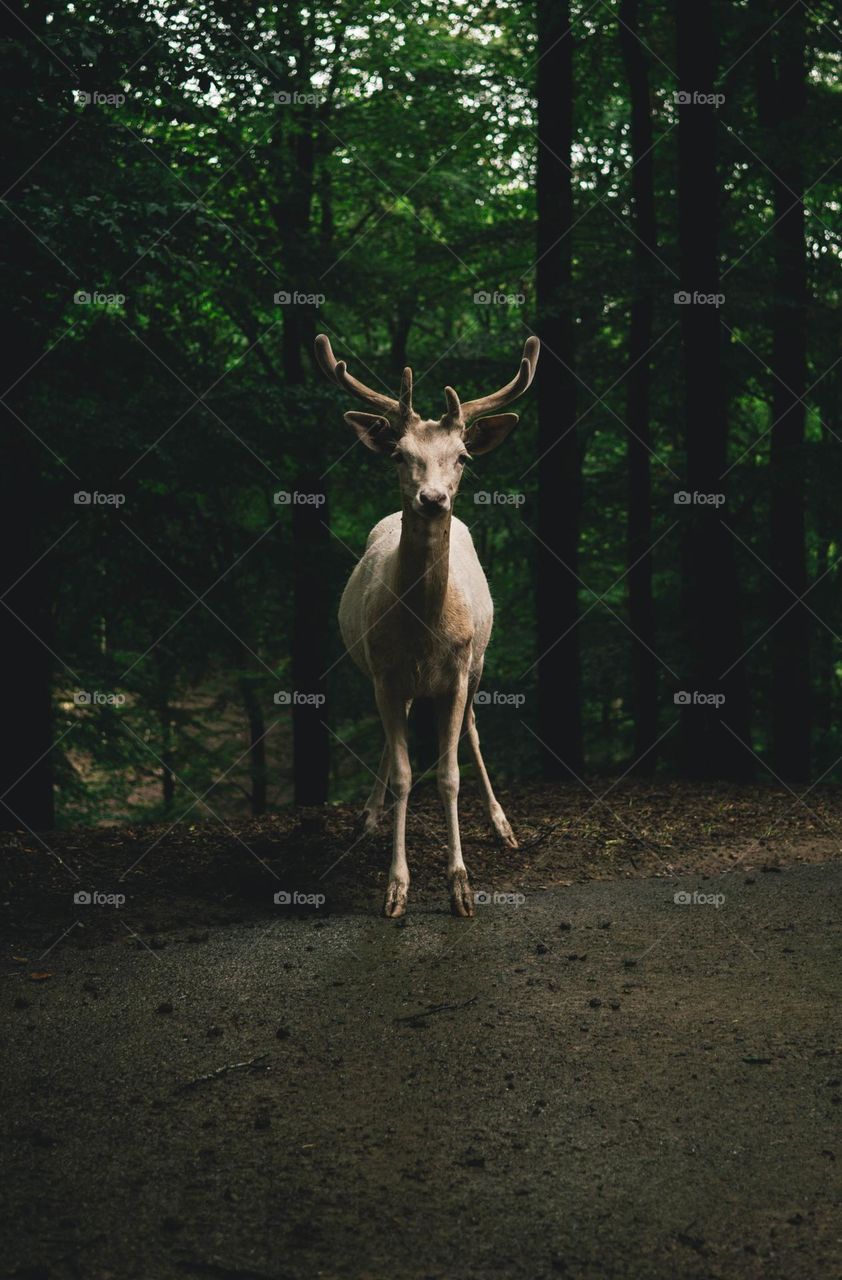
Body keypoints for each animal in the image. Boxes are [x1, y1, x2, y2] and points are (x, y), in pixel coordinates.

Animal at [315, 332, 540, 919]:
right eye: (399, 454)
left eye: (461, 456)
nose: (433, 499)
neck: (424, 632)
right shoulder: (386, 674)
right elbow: (403, 774)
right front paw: (396, 887)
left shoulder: (457, 672)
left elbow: (449, 773)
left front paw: (461, 885)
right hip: (383, 676)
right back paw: (368, 817)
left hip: (479, 663)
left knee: (474, 731)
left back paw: (503, 825)